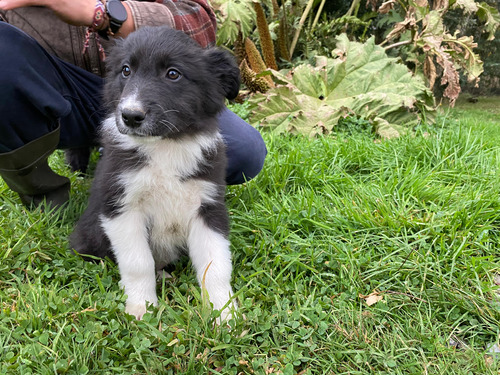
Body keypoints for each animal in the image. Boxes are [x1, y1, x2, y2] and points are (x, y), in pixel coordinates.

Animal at [70, 25, 240, 324]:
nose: (130, 116)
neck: (165, 147)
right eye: (126, 70)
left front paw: (223, 312)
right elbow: (138, 263)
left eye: (173, 73)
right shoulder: (121, 207)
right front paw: (141, 308)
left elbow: (216, 264)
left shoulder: (208, 206)